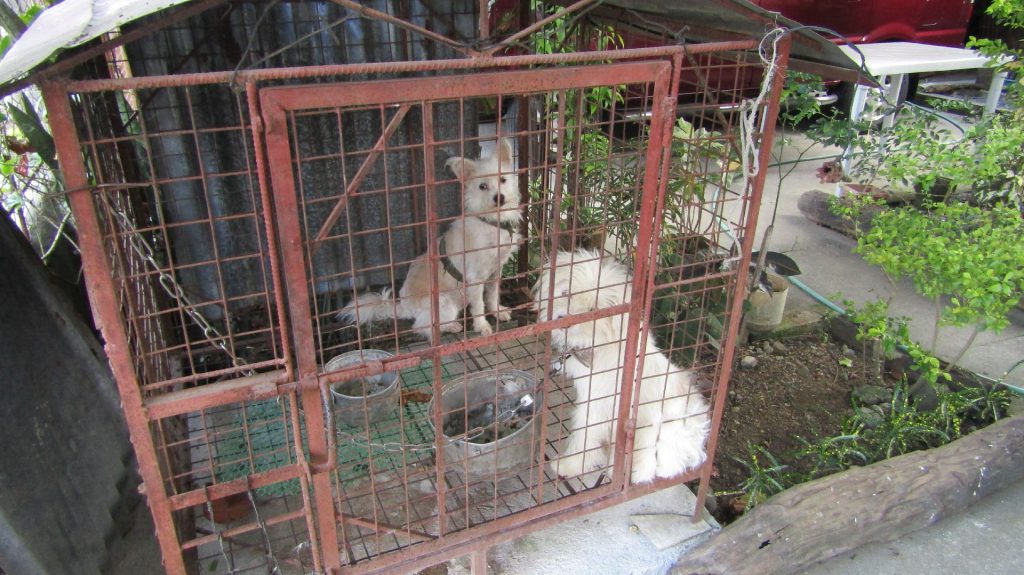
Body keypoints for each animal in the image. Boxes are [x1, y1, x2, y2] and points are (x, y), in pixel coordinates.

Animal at [339, 138, 524, 339]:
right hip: (445, 303)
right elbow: (478, 305)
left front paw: (497, 311)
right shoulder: (475, 278)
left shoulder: (495, 271)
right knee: (421, 327)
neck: (491, 222)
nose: (499, 198)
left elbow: (492, 295)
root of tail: (403, 306)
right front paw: (482, 325)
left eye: (503, 179)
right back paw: (450, 327)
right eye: (482, 186)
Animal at [536, 249, 712, 482]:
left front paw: (569, 465)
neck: (600, 344)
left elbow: (584, 437)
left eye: (593, 309)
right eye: (566, 293)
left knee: (651, 463)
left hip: (659, 427)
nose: (562, 318)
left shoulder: (596, 405)